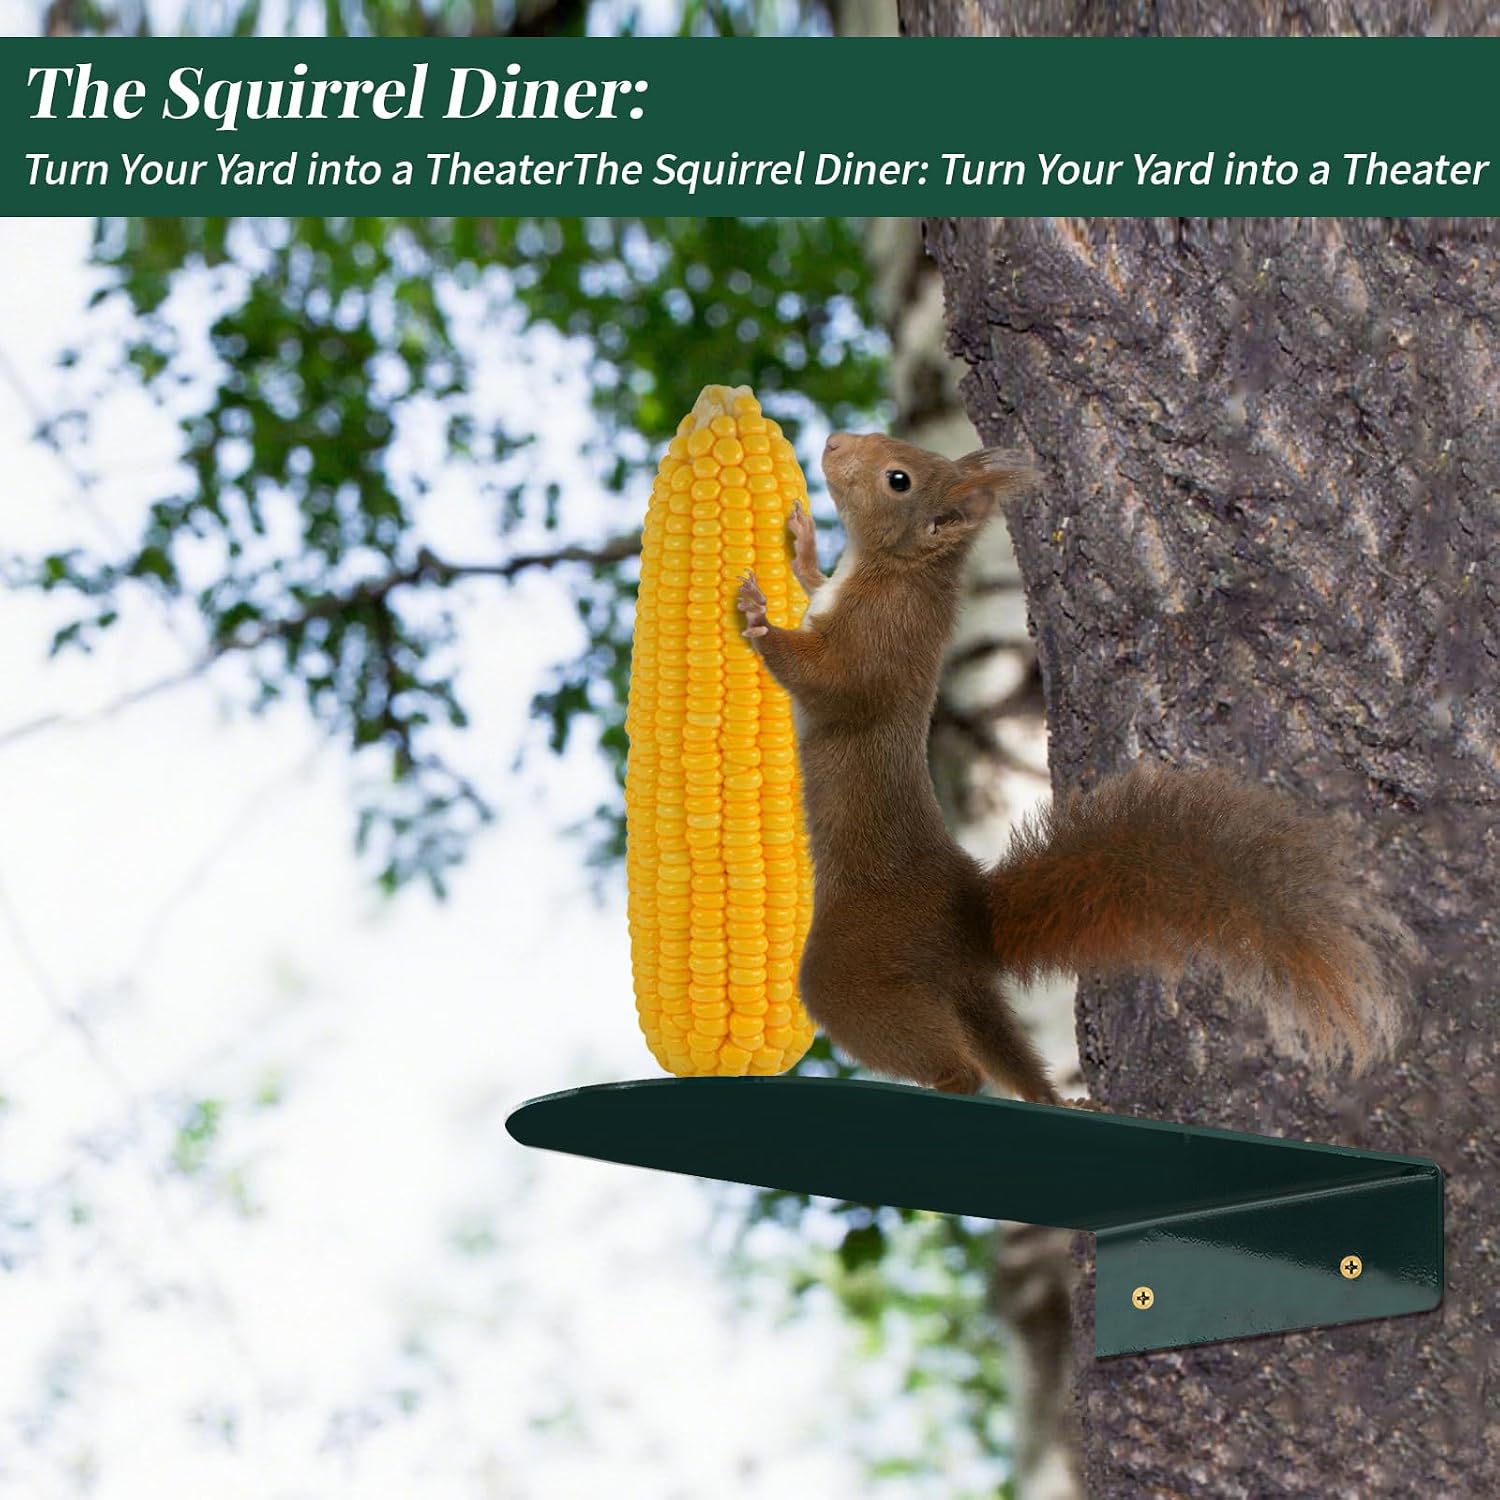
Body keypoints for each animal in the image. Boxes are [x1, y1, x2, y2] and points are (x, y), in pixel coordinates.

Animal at [734, 431, 1408, 1105]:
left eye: (898, 477)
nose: (834, 442)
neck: (896, 567)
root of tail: (967, 921)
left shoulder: (881, 639)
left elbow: (832, 685)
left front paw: (758, 618)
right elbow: (814, 583)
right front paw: (801, 542)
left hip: (861, 967)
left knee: (951, 1061)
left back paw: (949, 1084)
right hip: (963, 991)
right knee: (1007, 1052)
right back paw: (1053, 1098)